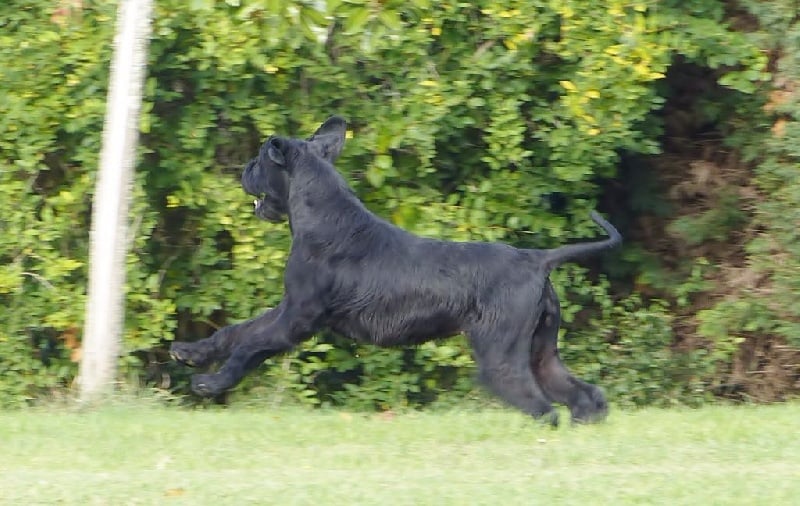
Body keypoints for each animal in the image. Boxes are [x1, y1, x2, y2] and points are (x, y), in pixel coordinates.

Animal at [170, 116, 622, 426]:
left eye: (261, 160)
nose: (244, 169)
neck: (321, 215)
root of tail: (536, 259)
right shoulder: (287, 308)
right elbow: (236, 331)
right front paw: (190, 353)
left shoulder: (297, 320)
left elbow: (250, 347)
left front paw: (209, 384)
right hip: (541, 350)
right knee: (583, 394)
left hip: (501, 354)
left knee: (543, 407)